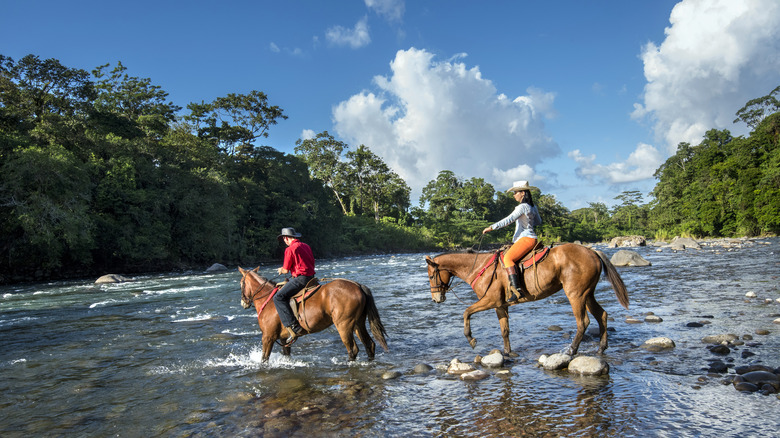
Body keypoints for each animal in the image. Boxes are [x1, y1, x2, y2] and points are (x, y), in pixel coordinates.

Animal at [235, 266, 386, 362]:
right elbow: (286, 355)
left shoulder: (268, 337)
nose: (243, 302)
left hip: (344, 325)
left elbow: (264, 359)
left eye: (241, 283)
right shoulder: (283, 339)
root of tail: (357, 285)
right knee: (369, 345)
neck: (268, 300)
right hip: (358, 324)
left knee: (353, 350)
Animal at [424, 245, 632, 358]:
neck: (480, 268)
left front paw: (471, 339)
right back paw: (601, 349)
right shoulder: (500, 305)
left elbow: (466, 312)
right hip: (588, 294)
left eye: (431, 275)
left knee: (583, 322)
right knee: (602, 315)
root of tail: (592, 252)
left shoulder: (490, 300)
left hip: (576, 294)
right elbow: (505, 330)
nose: (436, 299)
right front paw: (508, 352)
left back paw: (571, 351)